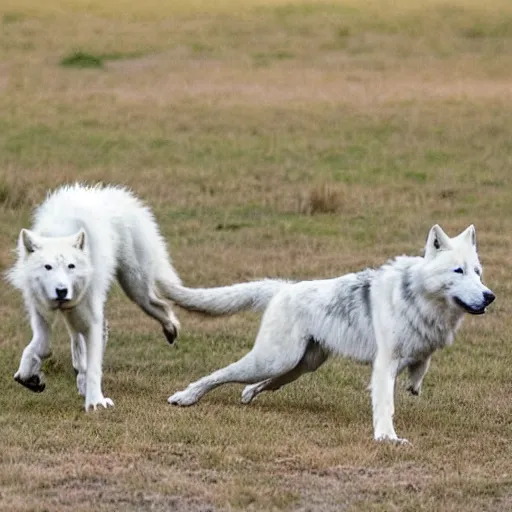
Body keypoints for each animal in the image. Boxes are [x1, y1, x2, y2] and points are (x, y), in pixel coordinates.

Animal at [7, 184, 182, 412]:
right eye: (48, 267)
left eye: (71, 266)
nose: (62, 291)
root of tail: (111, 193)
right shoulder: (42, 315)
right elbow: (38, 348)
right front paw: (31, 377)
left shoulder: (90, 320)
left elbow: (93, 366)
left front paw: (95, 402)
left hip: (135, 288)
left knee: (161, 306)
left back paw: (171, 328)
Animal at [168, 226, 496, 442]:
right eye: (458, 271)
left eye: (477, 272)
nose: (490, 296)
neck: (418, 296)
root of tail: (284, 288)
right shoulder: (385, 365)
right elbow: (385, 405)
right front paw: (387, 438)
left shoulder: (420, 351)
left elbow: (421, 366)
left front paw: (414, 385)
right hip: (273, 360)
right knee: (220, 374)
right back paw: (185, 397)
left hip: (299, 366)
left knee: (258, 384)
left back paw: (246, 395)